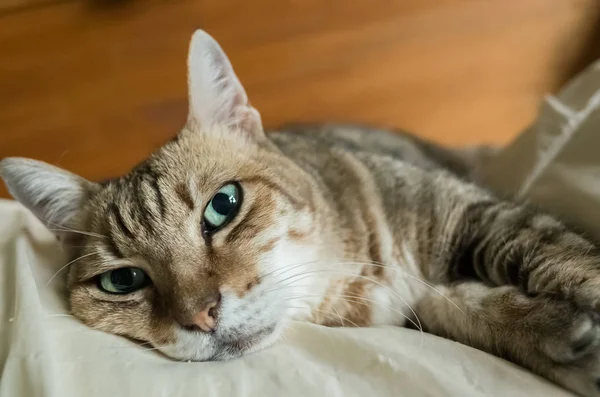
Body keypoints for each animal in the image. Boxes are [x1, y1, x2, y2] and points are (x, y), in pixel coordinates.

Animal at [3, 30, 600, 396]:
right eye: (123, 281)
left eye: (223, 206)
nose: (201, 317)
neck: (352, 288)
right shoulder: (418, 306)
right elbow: (459, 307)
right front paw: (559, 337)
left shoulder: (469, 212)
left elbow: (564, 260)